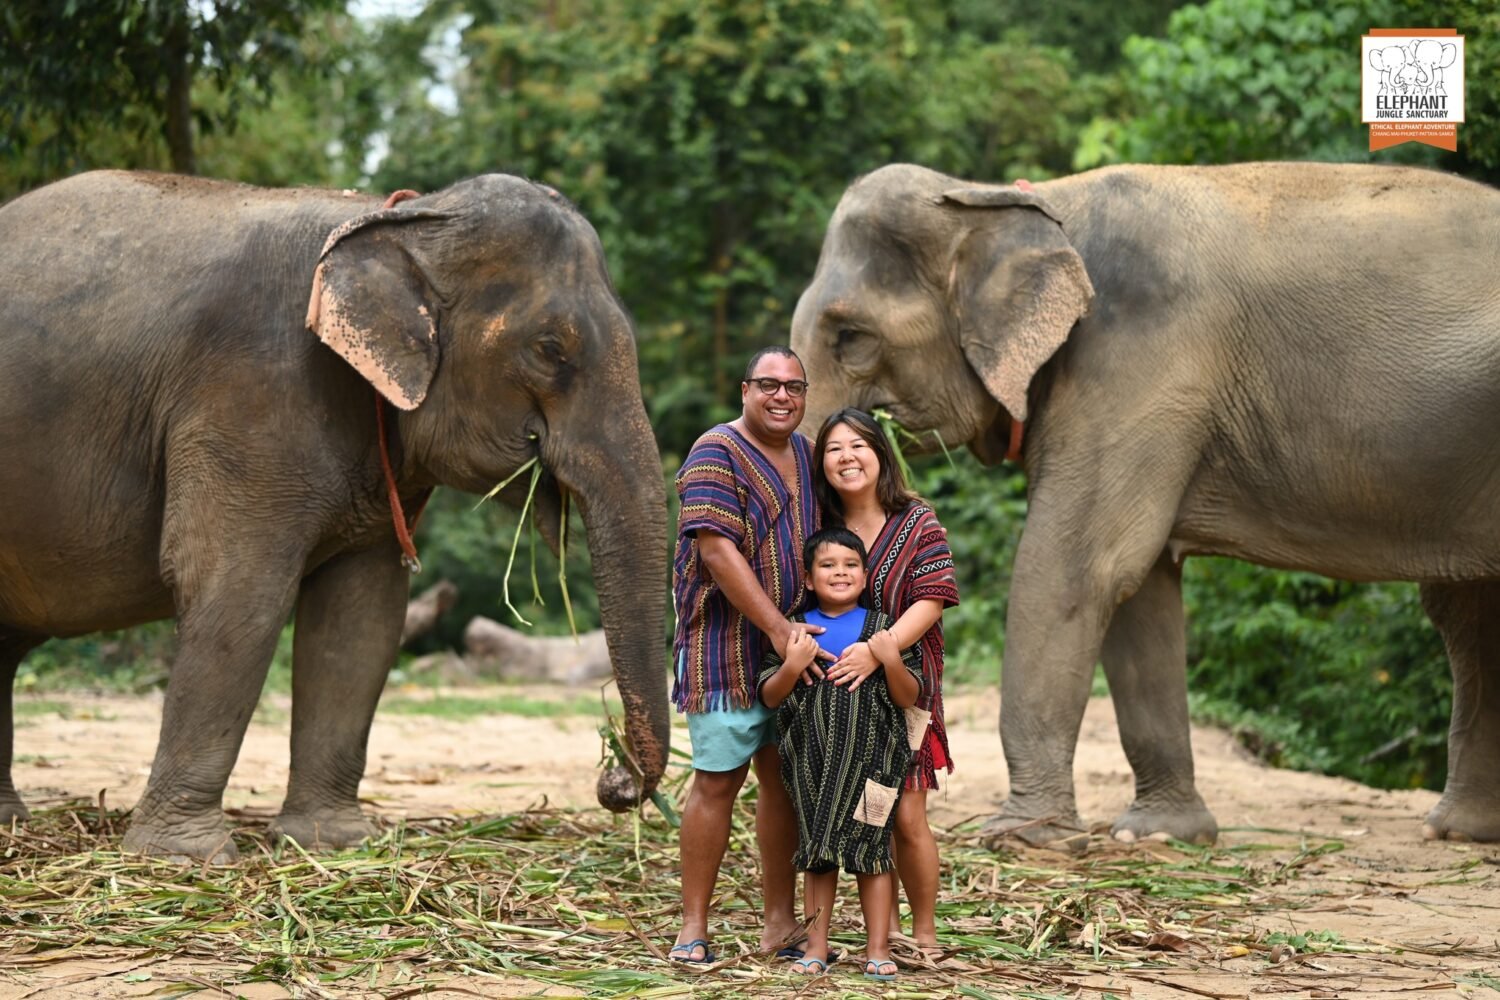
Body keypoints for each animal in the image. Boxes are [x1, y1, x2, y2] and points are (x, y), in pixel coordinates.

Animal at [0, 170, 669, 863]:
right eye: (549, 350)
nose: (613, 781)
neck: (398, 221)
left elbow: (361, 618)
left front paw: (334, 843)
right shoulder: (247, 391)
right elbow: (239, 591)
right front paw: (185, 857)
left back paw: (10, 823)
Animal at [786, 164, 1500, 851]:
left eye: (850, 337)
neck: (1016, 200)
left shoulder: (1138, 364)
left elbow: (1079, 568)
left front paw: (1021, 839)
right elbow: (1141, 591)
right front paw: (1159, 834)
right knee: (1469, 612)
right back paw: (1460, 832)